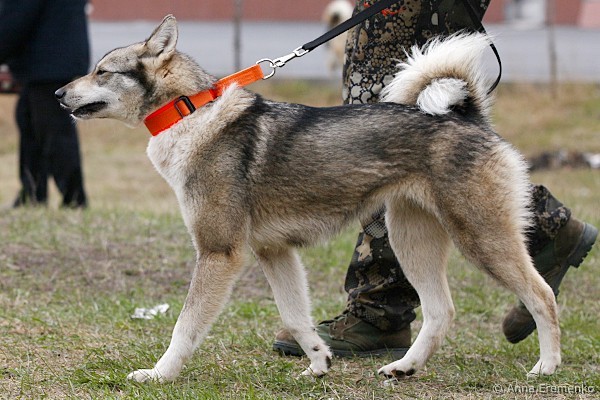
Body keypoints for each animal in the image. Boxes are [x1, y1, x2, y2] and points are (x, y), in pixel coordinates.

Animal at [56, 15, 561, 383]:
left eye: (102, 71)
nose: (58, 92)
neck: (189, 113)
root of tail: (468, 116)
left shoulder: (219, 252)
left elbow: (185, 326)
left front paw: (159, 374)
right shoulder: (274, 251)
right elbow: (296, 318)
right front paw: (319, 362)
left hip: (481, 237)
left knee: (543, 295)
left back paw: (547, 365)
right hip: (410, 240)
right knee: (441, 311)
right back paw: (405, 367)